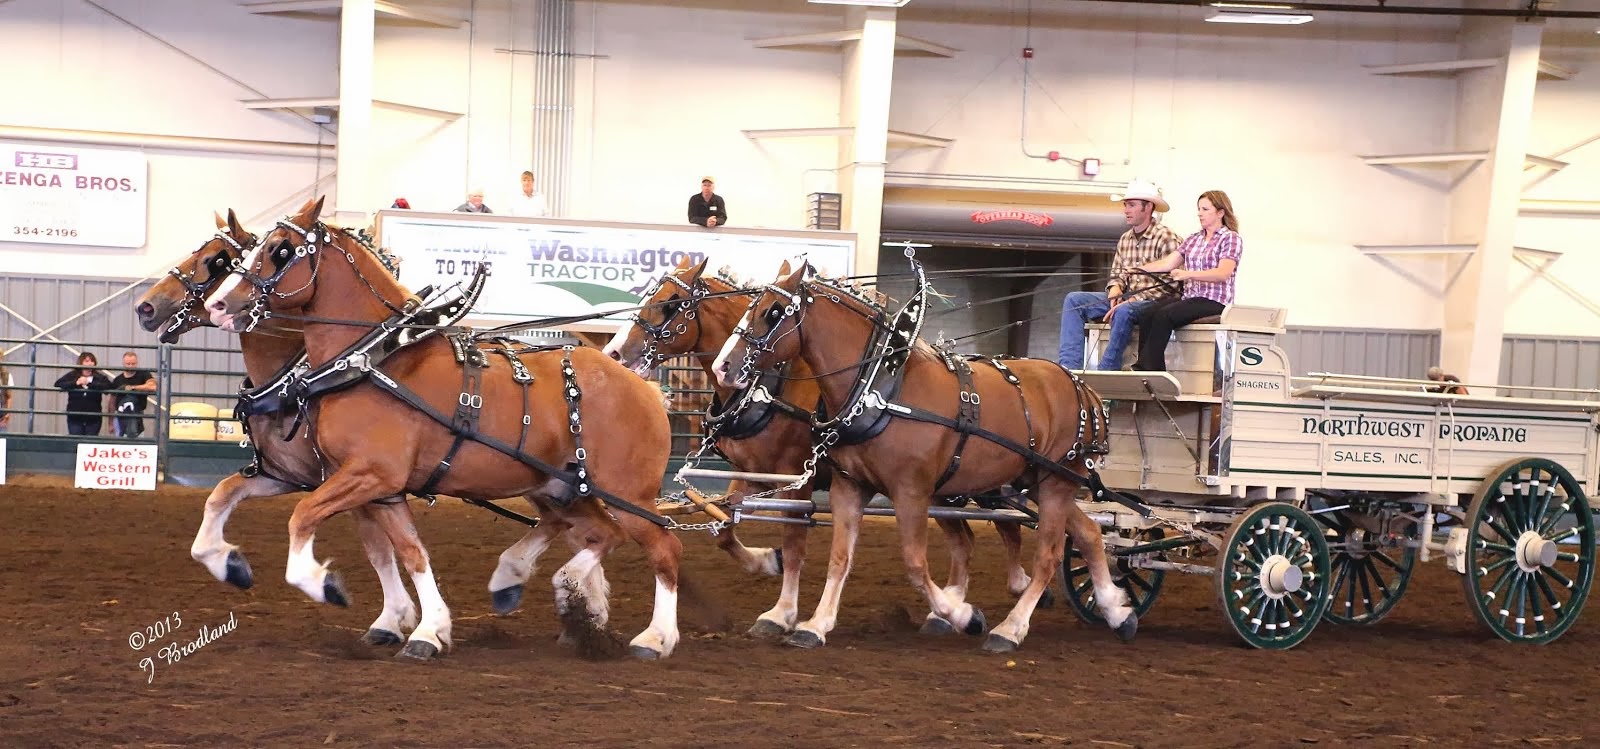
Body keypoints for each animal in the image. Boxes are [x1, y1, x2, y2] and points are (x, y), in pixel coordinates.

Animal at [198, 196, 681, 659]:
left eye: (280, 251)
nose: (217, 305)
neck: (372, 359)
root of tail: (644, 387)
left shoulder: (370, 474)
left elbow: (303, 517)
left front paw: (325, 585)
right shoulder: (378, 487)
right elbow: (410, 553)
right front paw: (428, 629)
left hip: (626, 493)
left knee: (662, 548)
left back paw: (652, 637)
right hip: (562, 487)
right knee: (601, 533)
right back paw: (540, 586)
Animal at [601, 257, 1049, 636]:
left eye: (669, 304)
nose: (613, 352)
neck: (772, 384)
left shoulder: (795, 479)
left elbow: (794, 543)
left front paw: (781, 613)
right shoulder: (752, 473)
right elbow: (725, 529)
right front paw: (765, 562)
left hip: (980, 483)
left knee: (1010, 525)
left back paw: (1017, 587)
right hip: (947, 489)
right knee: (970, 539)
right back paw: (959, 607)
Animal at [713, 254, 1139, 652]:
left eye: (772, 312)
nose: (722, 367)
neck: (880, 386)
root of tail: (1081, 385)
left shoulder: (910, 492)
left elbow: (915, 564)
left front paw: (964, 614)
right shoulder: (849, 486)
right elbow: (839, 557)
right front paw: (816, 625)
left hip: (1054, 483)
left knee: (1048, 556)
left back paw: (1010, 628)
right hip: (1039, 480)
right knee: (1088, 534)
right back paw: (1116, 609)